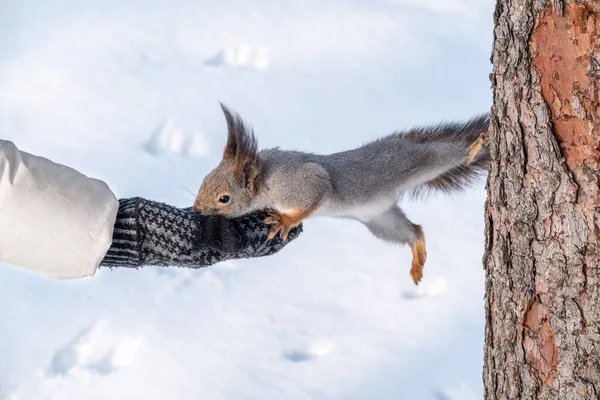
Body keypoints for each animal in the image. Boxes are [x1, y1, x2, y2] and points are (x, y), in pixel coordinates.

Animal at [195, 103, 490, 284]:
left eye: (224, 198)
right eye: (204, 180)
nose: (197, 209)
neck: (266, 179)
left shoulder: (305, 182)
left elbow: (315, 196)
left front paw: (286, 220)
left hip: (415, 160)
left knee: (448, 154)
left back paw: (475, 146)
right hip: (382, 222)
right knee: (415, 232)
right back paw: (417, 259)